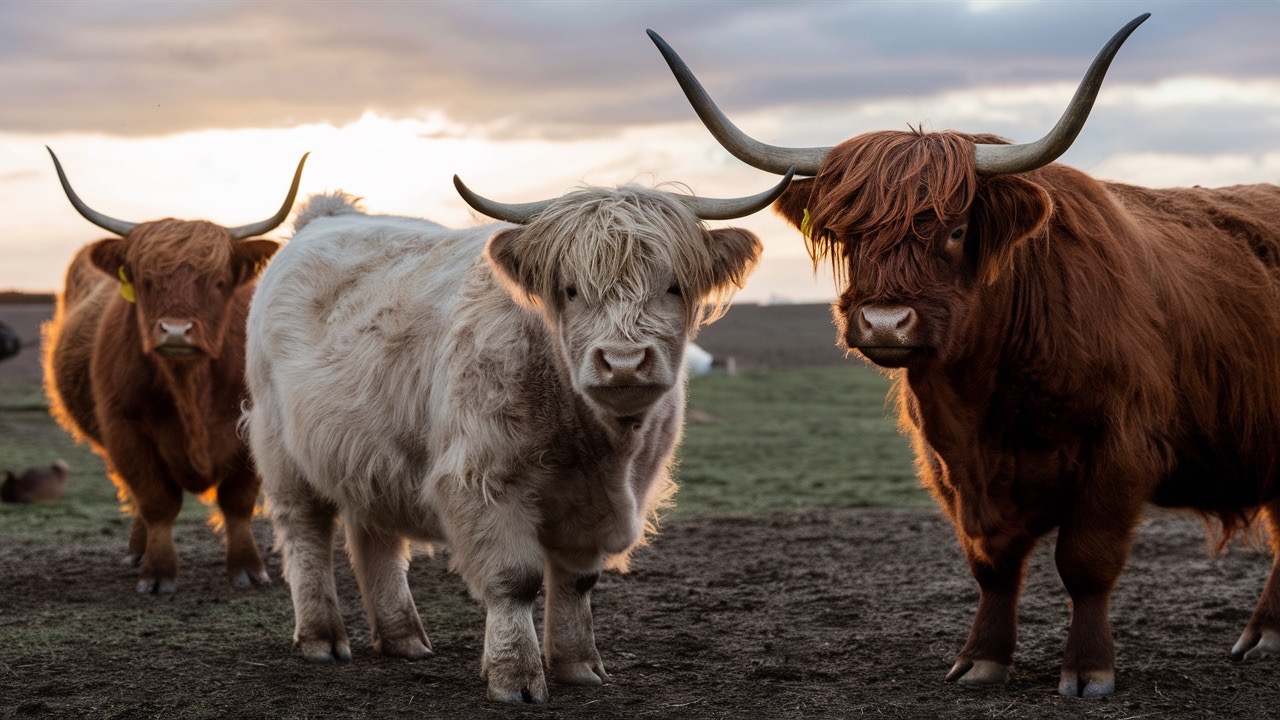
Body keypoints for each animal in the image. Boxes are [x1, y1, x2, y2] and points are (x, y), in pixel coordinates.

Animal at [241, 166, 788, 696]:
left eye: (673, 285)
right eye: (571, 290)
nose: (623, 362)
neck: (597, 447)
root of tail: (326, 214)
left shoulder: (597, 504)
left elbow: (577, 581)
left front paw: (578, 664)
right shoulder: (484, 481)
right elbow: (516, 579)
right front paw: (514, 676)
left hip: (367, 452)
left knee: (374, 536)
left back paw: (403, 638)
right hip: (280, 445)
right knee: (305, 532)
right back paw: (322, 638)